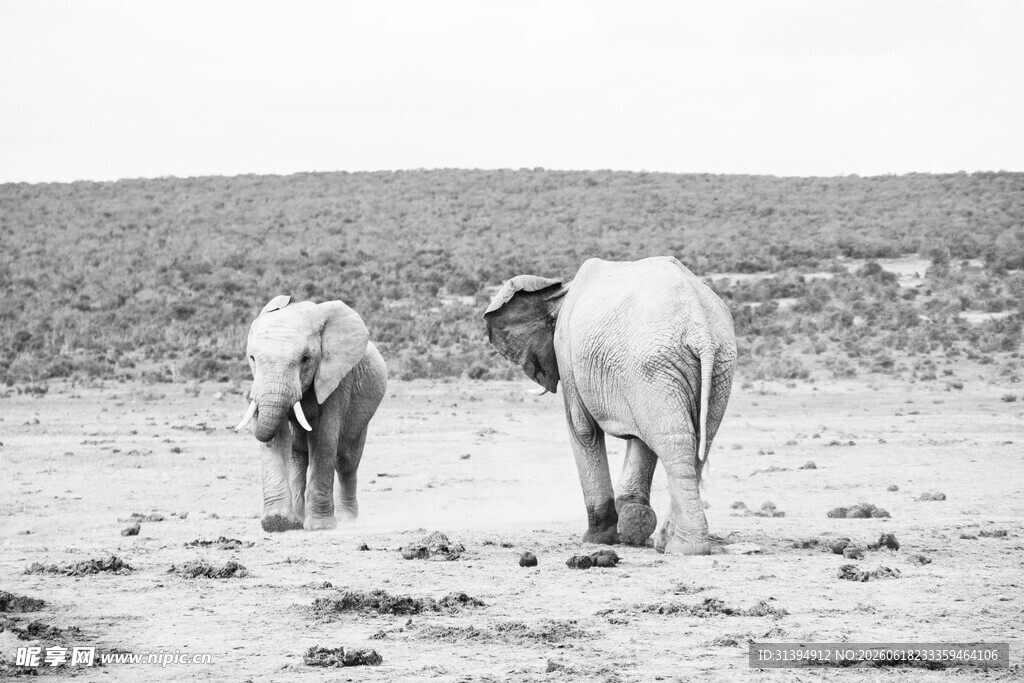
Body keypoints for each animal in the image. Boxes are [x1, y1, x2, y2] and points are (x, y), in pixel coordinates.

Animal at [234, 295, 387, 532]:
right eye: (252, 358)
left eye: (305, 359)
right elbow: (278, 439)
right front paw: (276, 523)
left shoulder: (336, 380)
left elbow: (324, 439)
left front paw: (321, 527)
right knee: (298, 457)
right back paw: (298, 519)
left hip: (364, 414)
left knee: (347, 463)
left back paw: (346, 519)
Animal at [484, 256, 736, 555]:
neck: (560, 293)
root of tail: (701, 329)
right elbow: (640, 437)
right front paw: (634, 520)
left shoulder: (567, 353)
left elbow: (583, 430)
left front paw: (599, 538)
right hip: (714, 365)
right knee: (698, 441)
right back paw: (668, 541)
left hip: (655, 362)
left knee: (676, 441)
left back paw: (683, 548)